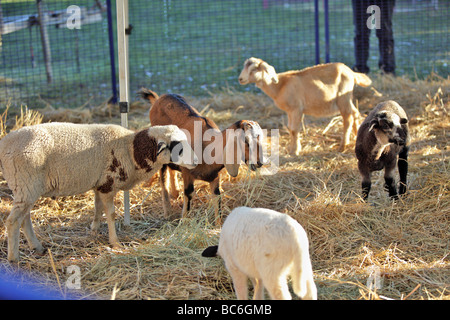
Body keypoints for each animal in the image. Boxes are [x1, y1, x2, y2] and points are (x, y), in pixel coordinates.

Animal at [0, 121, 197, 262]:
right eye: (177, 145)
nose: (196, 161)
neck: (130, 149)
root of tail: (5, 143)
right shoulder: (108, 184)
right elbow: (111, 214)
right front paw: (115, 243)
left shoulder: (100, 183)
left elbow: (97, 207)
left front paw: (94, 229)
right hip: (26, 184)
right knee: (13, 221)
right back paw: (14, 258)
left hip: (25, 188)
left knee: (24, 218)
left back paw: (37, 247)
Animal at [139, 89, 266, 225]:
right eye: (246, 141)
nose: (259, 162)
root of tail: (159, 98)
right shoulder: (187, 172)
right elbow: (188, 195)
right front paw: (183, 223)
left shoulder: (214, 176)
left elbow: (217, 197)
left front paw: (218, 226)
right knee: (163, 177)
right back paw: (168, 212)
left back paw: (175, 193)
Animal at [237, 57, 370, 155]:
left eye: (254, 69)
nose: (240, 79)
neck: (279, 86)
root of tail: (351, 73)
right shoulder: (290, 111)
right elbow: (290, 128)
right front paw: (291, 149)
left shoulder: (296, 108)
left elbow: (294, 129)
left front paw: (295, 151)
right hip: (347, 99)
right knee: (355, 113)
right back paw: (356, 137)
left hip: (343, 98)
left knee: (347, 117)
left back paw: (342, 146)